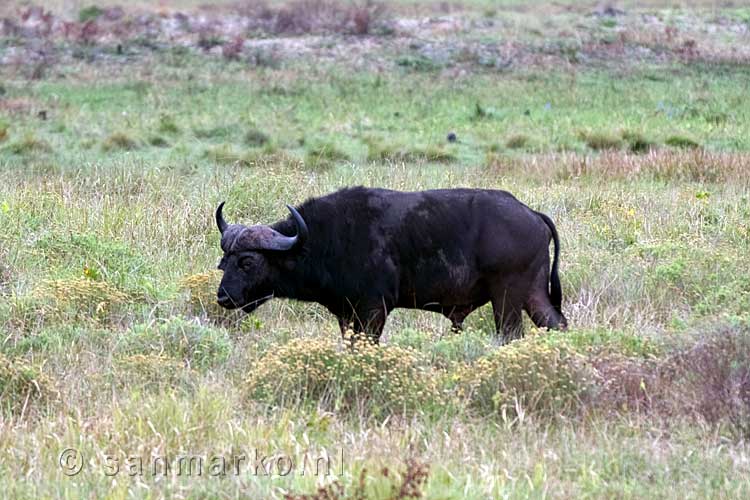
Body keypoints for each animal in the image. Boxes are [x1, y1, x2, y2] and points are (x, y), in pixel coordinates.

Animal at [214, 188, 568, 344]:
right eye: (224, 261)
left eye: (247, 261)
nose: (223, 297)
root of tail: (532, 214)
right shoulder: (347, 314)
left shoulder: (374, 310)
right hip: (534, 295)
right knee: (558, 324)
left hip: (507, 298)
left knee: (511, 333)